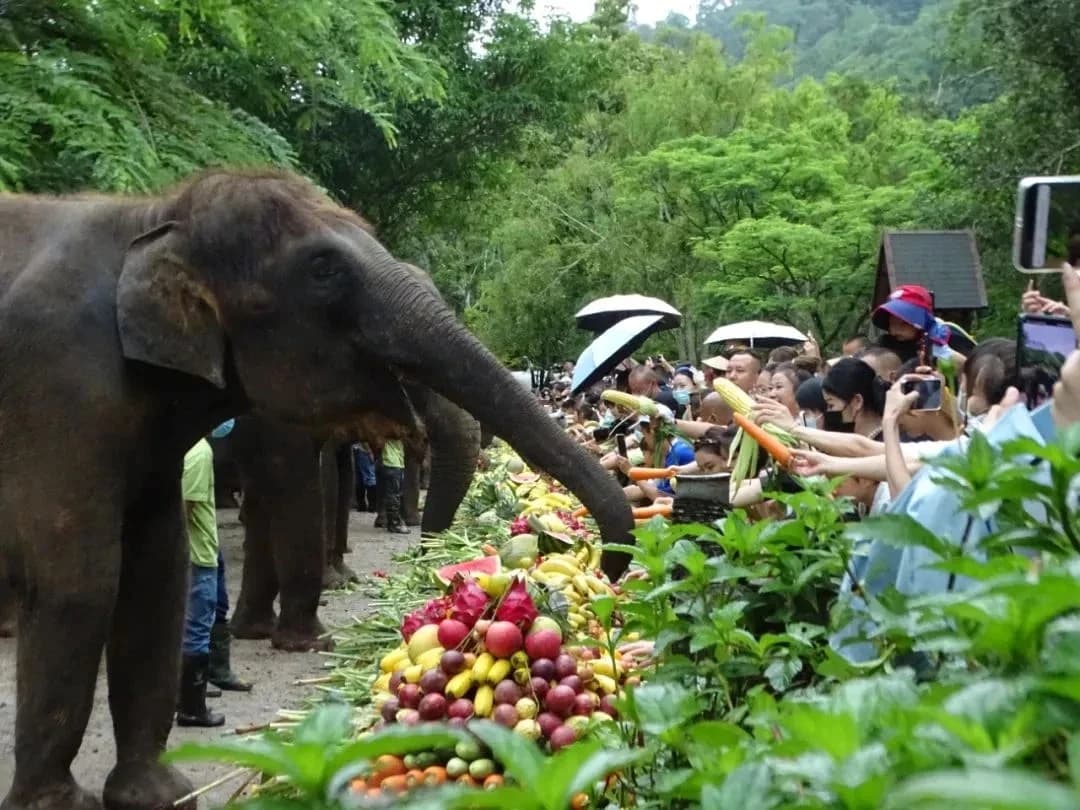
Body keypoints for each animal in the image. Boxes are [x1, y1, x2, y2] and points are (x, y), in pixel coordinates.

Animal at [0, 169, 633, 810]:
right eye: (324, 269)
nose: (606, 572)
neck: (152, 216)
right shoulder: (61, 383)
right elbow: (85, 580)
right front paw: (311, 644)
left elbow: (160, 569)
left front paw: (159, 794)